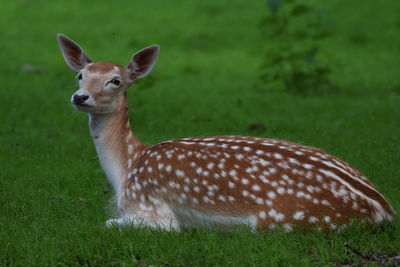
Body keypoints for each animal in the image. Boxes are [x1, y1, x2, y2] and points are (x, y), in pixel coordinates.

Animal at [57, 34, 394, 232]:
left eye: (115, 80)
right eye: (80, 75)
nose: (79, 97)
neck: (127, 167)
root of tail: (385, 210)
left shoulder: (153, 212)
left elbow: (108, 223)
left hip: (282, 220)